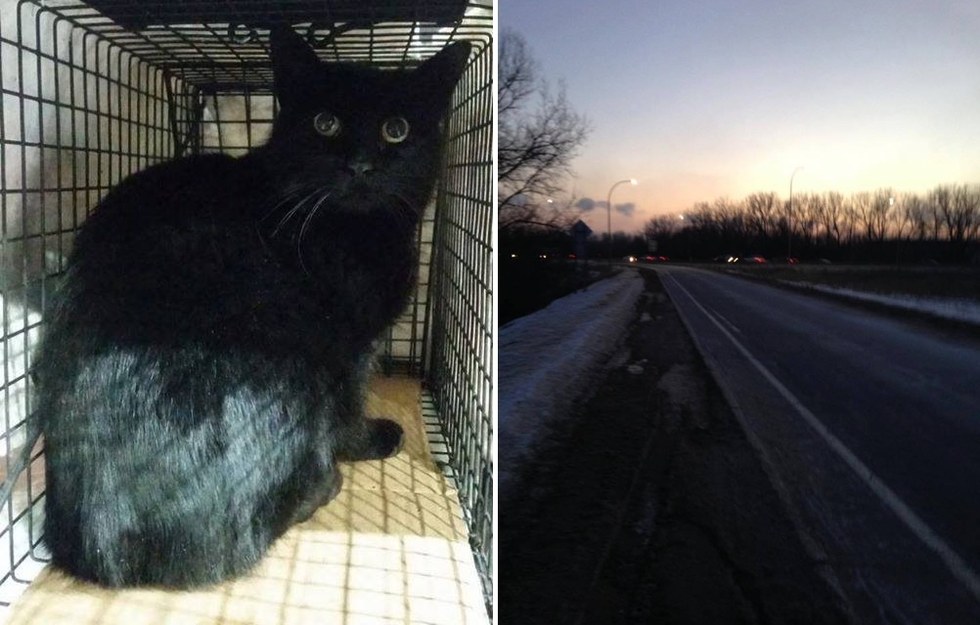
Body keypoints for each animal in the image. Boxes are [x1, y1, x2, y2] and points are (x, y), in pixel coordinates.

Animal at [29, 26, 470, 588]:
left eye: (396, 129)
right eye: (325, 123)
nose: (360, 166)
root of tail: (115, 554)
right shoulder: (348, 346)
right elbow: (347, 408)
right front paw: (369, 441)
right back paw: (323, 482)